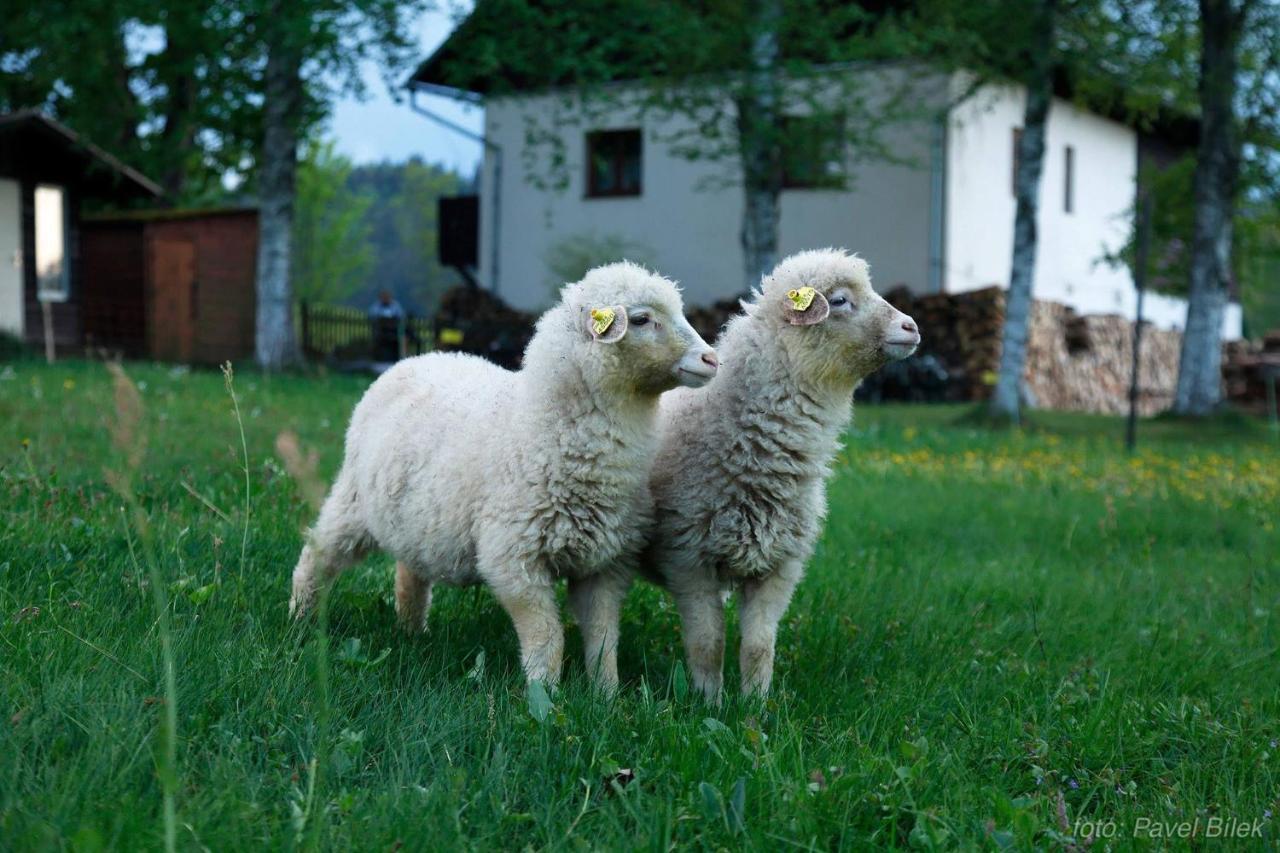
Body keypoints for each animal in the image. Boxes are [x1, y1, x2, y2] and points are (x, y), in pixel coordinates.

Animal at [293, 262, 721, 686]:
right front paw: (543, 693)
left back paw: (413, 631)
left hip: (414, 520)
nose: (712, 359)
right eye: (643, 319)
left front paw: (606, 694)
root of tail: (413, 359)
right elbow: (546, 637)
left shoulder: (605, 563)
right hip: (353, 501)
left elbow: (603, 638)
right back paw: (301, 619)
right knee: (318, 554)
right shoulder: (514, 559)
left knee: (409, 572)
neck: (540, 426)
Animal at [640, 247, 921, 696]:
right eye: (839, 300)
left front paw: (756, 702)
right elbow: (707, 642)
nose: (911, 327)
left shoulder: (779, 565)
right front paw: (706, 701)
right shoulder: (687, 559)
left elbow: (759, 645)